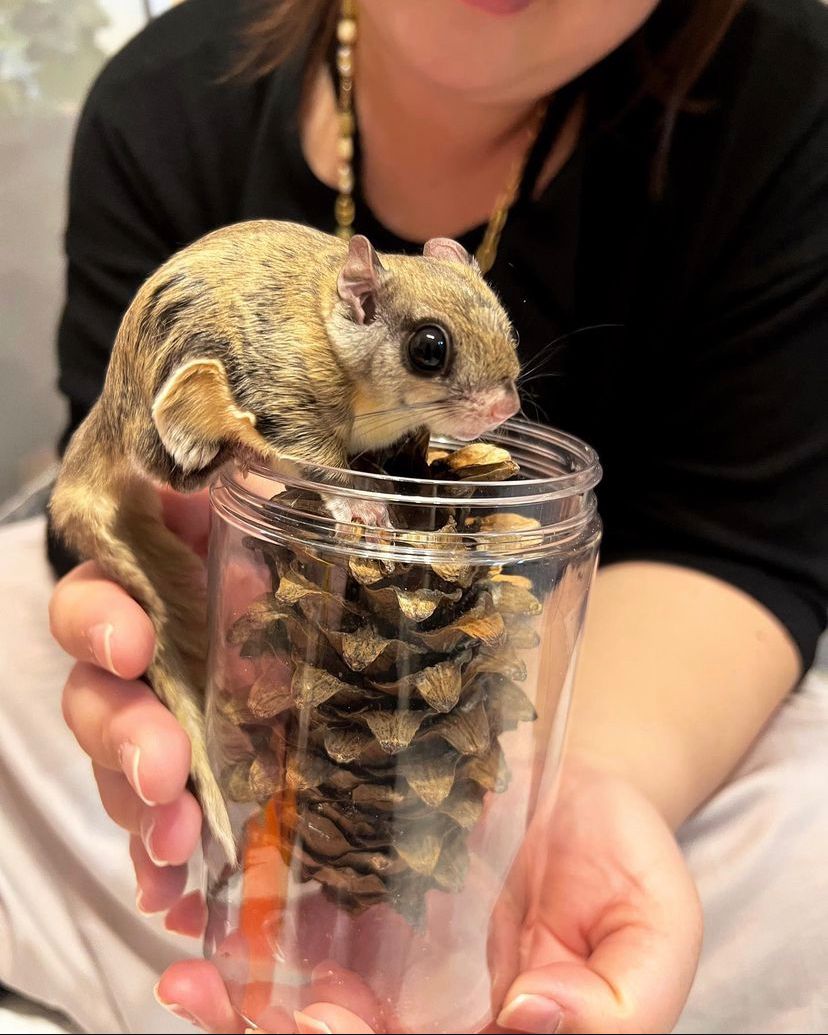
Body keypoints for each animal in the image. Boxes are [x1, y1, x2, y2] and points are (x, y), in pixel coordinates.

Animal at [50, 219, 521, 864]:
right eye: (429, 348)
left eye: (506, 320)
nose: (508, 406)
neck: (332, 330)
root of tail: (110, 414)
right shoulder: (289, 396)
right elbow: (320, 463)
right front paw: (364, 505)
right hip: (183, 395)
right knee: (175, 469)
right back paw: (237, 455)